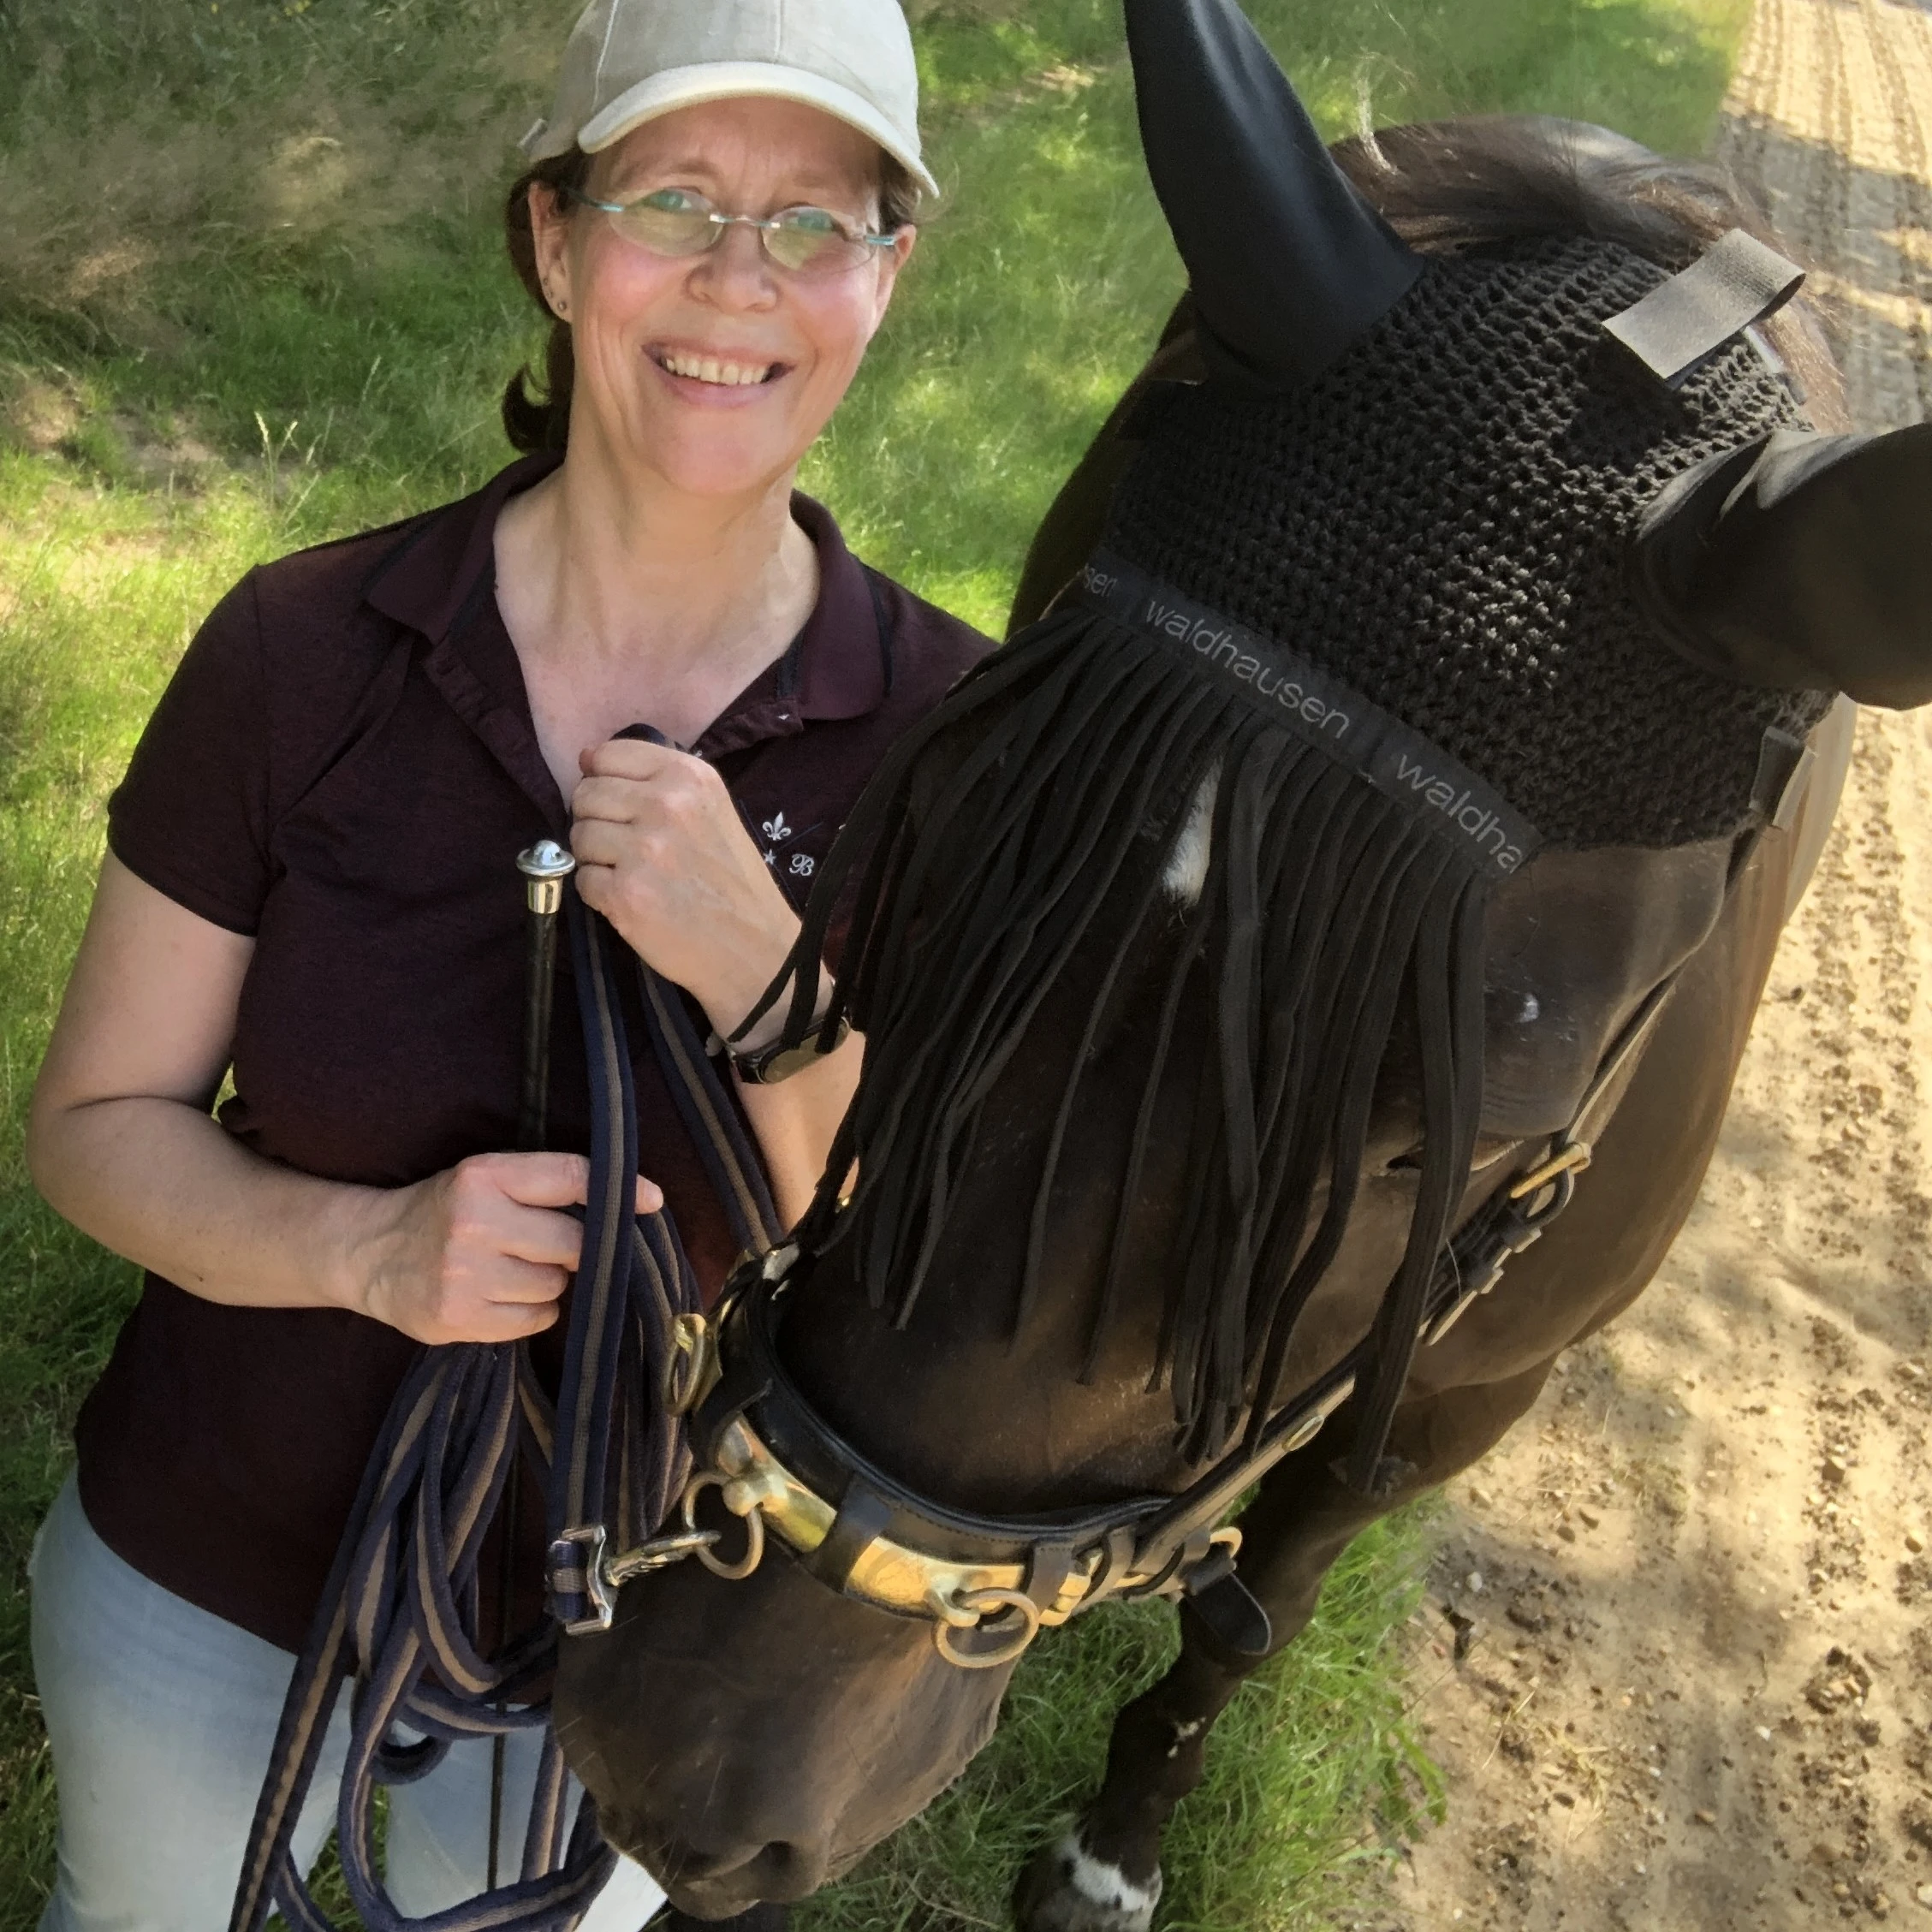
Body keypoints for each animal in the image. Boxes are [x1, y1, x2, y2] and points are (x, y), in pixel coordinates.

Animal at [548, 4, 1932, 1925]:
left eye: (1428, 1149)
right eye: (935, 861)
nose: (676, 1762)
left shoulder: (1456, 1401)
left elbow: (1252, 1619)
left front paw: (1114, 1849)